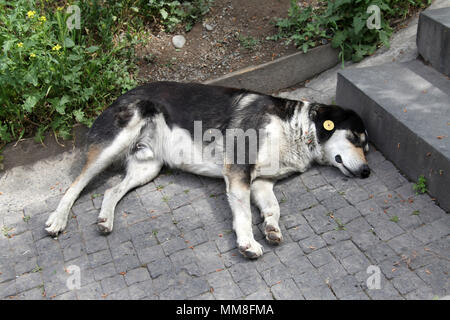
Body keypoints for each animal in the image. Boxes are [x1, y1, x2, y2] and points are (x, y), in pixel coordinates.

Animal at [44, 81, 370, 258]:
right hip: (114, 144)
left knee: (112, 189)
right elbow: (243, 215)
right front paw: (248, 244)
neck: (296, 128)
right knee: (75, 185)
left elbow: (273, 209)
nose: (368, 172)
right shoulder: (238, 173)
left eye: (367, 146)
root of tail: (119, 96)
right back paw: (57, 219)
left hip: (148, 167)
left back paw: (105, 219)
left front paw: (271, 228)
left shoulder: (262, 182)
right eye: (356, 139)